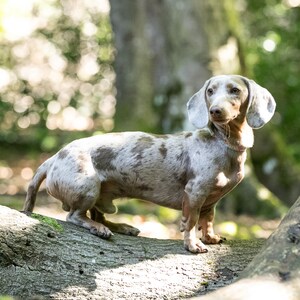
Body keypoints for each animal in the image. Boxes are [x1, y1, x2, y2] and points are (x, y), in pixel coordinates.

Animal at [24, 75, 276, 253]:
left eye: (235, 90)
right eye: (210, 91)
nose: (215, 111)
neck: (223, 143)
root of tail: (54, 158)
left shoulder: (211, 201)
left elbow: (208, 220)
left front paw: (210, 237)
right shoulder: (195, 193)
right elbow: (191, 221)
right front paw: (193, 244)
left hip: (99, 195)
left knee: (98, 215)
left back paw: (122, 227)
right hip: (88, 188)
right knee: (76, 216)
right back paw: (100, 229)